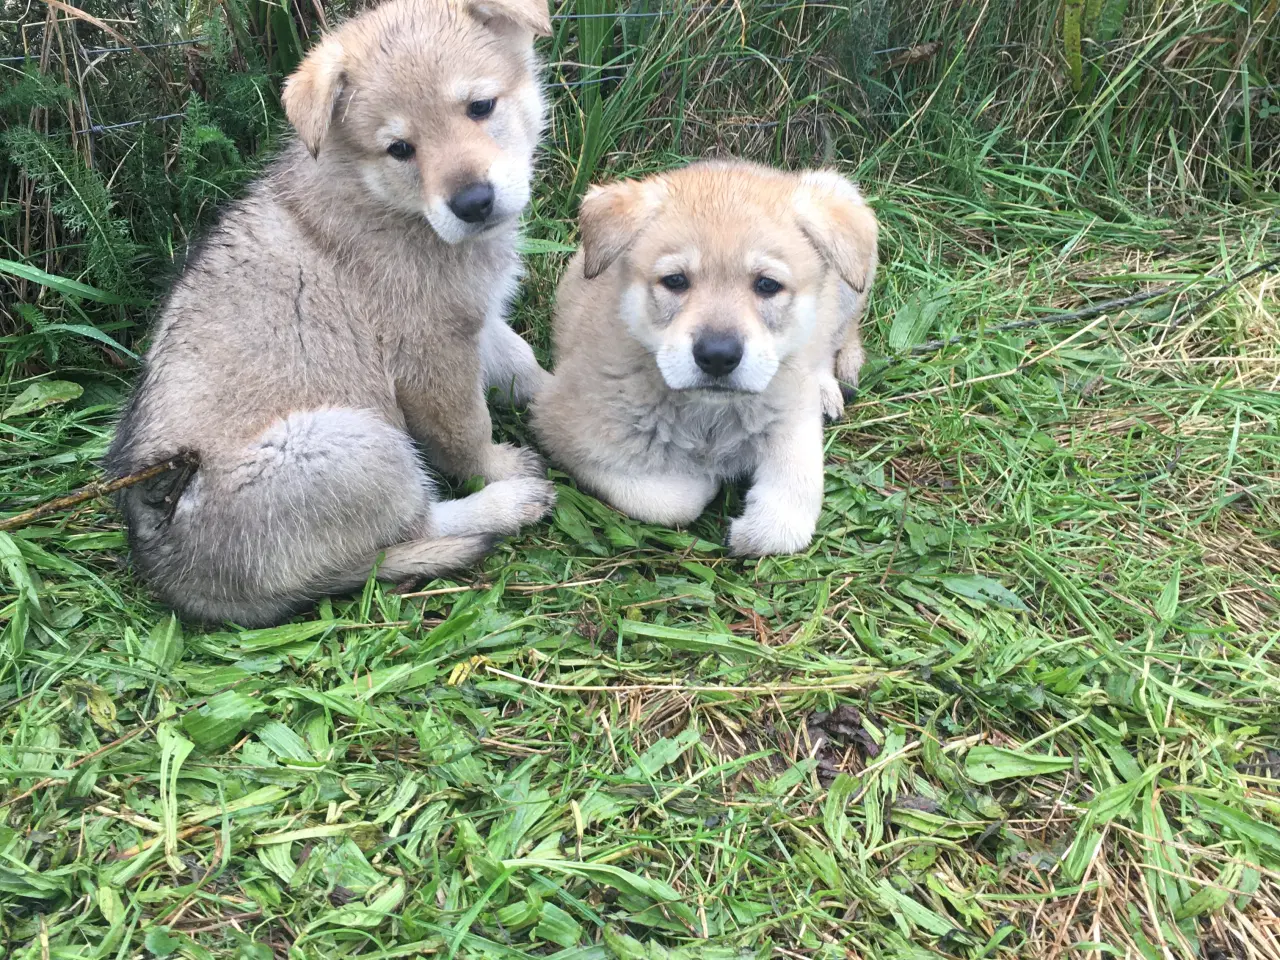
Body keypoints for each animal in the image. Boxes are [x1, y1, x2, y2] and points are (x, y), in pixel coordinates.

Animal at [103, 0, 555, 632]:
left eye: (480, 107)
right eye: (400, 148)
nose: (473, 203)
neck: (388, 204)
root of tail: (174, 576)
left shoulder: (478, 316)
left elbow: (524, 364)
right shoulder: (431, 352)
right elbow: (468, 433)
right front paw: (502, 469)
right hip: (355, 442)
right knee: (411, 527)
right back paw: (508, 506)